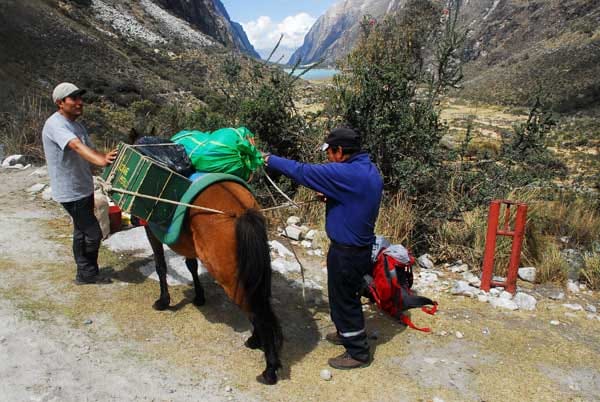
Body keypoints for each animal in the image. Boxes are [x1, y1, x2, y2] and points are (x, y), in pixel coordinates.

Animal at [146, 181, 286, 384]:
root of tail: (242, 211)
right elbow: (191, 265)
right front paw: (199, 297)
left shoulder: (150, 228)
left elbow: (160, 265)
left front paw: (163, 301)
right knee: (260, 306)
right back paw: (256, 342)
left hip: (230, 278)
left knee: (258, 313)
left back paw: (269, 368)